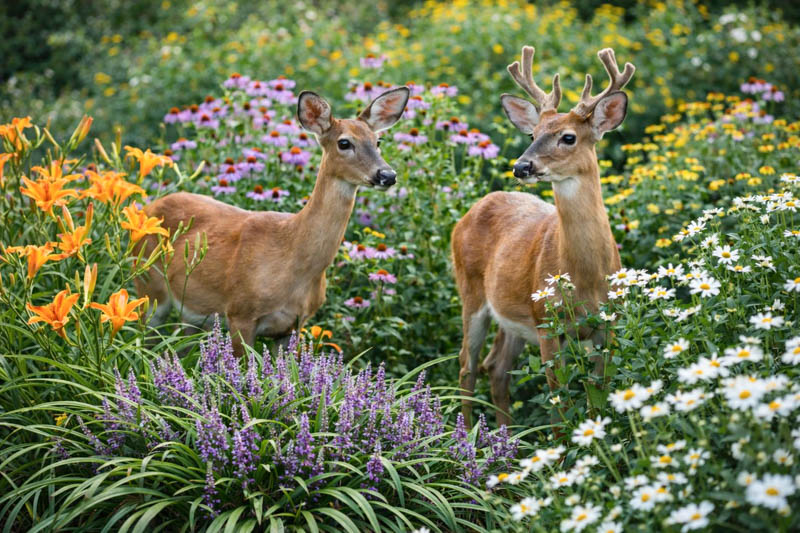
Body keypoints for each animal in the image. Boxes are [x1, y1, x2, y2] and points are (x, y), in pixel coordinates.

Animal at [134, 87, 410, 356]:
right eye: (344, 142)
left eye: (378, 141)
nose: (387, 175)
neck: (294, 260)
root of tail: (148, 207)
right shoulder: (239, 312)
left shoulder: (294, 325)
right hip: (149, 288)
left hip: (191, 313)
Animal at [451, 46, 634, 427]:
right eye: (532, 134)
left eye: (568, 137)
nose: (521, 166)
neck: (586, 276)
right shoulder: (548, 322)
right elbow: (559, 402)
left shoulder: (608, 322)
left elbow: (598, 398)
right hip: (471, 293)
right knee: (467, 365)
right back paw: (466, 434)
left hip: (512, 316)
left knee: (496, 367)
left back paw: (504, 435)